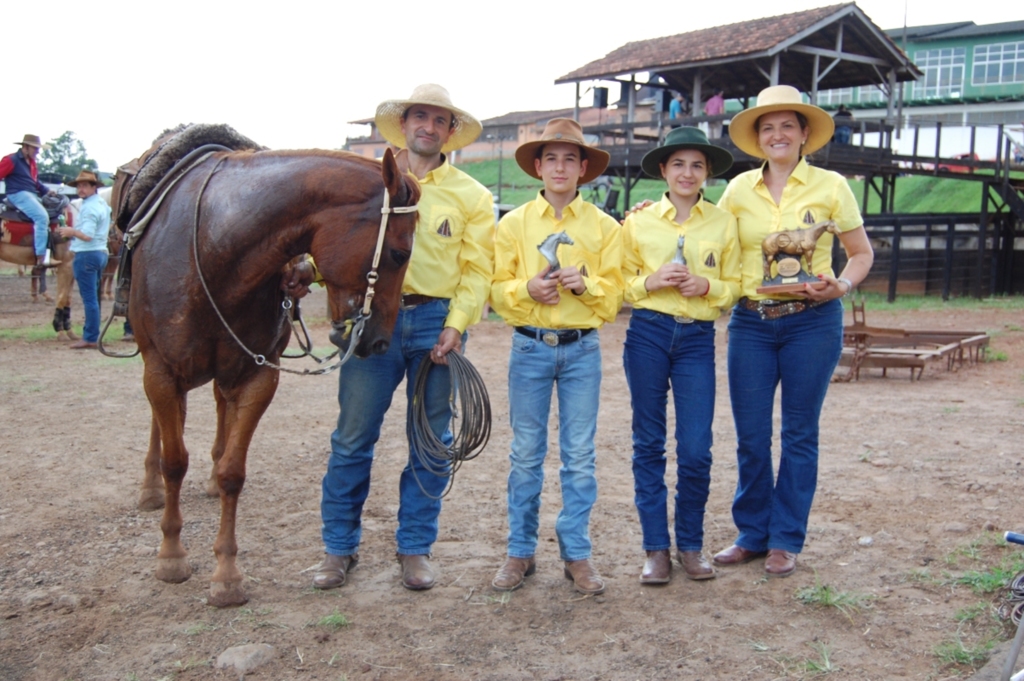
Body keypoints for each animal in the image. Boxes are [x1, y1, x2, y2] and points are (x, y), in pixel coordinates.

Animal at [132, 146, 419, 602]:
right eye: (399, 253)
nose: (377, 343)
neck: (212, 251)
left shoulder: (256, 376)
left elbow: (233, 471)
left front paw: (227, 575)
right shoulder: (161, 371)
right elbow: (174, 462)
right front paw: (171, 555)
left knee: (218, 415)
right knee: (162, 430)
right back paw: (150, 489)